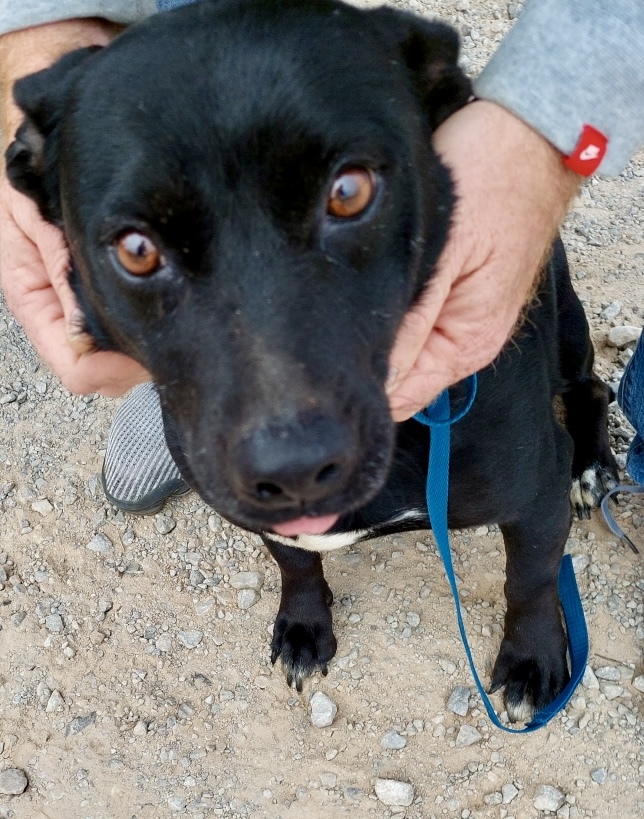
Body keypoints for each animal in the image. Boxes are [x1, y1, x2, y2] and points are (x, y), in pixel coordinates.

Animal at [7, 0, 616, 720]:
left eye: (349, 191)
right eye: (136, 249)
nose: (294, 468)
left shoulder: (536, 496)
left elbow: (532, 577)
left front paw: (532, 656)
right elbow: (294, 562)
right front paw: (303, 624)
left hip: (565, 327)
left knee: (593, 389)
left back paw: (594, 468)